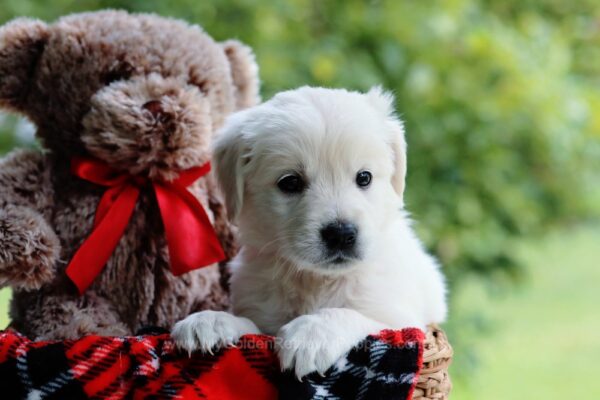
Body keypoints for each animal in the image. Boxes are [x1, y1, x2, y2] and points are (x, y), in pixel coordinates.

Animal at [172, 86, 446, 378]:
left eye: (364, 177)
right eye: (290, 182)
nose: (341, 234)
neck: (315, 280)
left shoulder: (403, 321)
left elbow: (354, 316)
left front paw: (312, 334)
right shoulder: (262, 312)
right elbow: (250, 325)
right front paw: (211, 321)